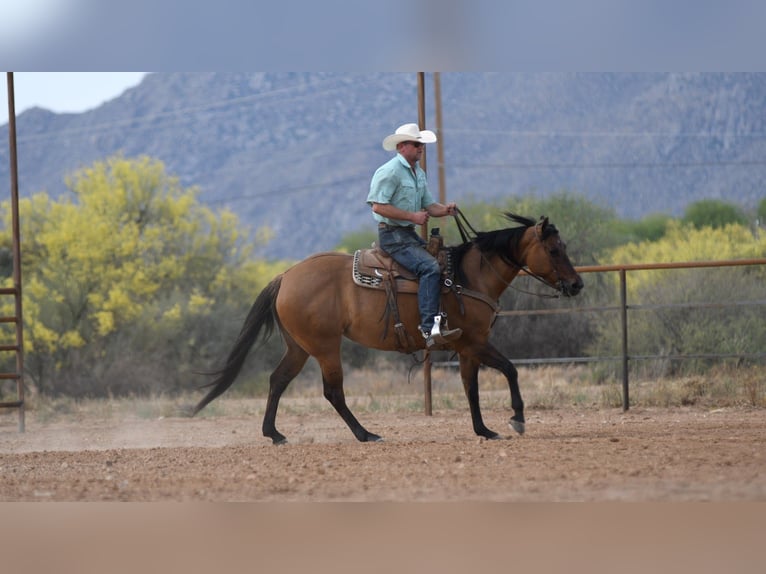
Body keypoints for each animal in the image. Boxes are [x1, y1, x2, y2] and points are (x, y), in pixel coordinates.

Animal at [191, 213, 583, 443]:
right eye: (553, 249)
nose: (577, 284)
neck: (469, 277)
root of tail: (285, 276)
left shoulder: (466, 348)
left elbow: (471, 388)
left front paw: (484, 430)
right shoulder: (476, 342)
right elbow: (510, 370)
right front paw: (517, 418)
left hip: (299, 347)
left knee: (278, 380)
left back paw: (274, 434)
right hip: (325, 347)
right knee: (332, 392)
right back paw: (365, 434)